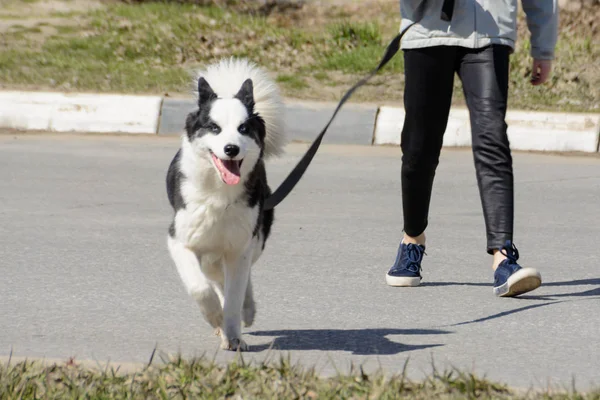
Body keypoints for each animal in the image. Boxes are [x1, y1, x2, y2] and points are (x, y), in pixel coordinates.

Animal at [164, 57, 286, 352]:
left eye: (243, 128)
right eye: (214, 127)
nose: (231, 149)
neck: (219, 195)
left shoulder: (240, 246)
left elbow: (233, 297)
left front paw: (233, 336)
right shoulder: (179, 241)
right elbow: (200, 288)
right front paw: (215, 318)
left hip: (255, 238)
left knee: (240, 280)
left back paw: (247, 310)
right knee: (216, 279)